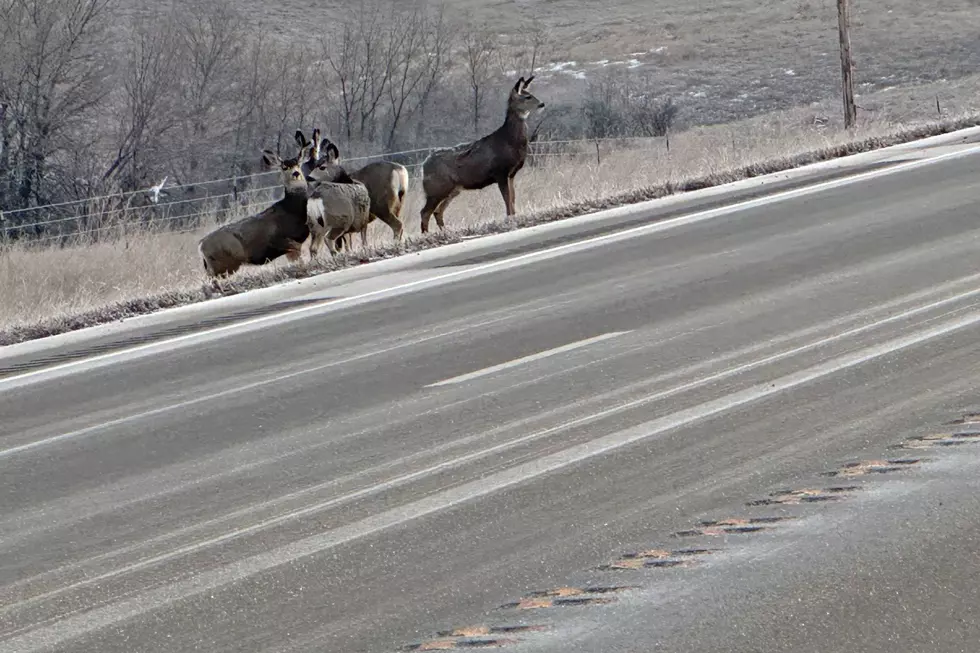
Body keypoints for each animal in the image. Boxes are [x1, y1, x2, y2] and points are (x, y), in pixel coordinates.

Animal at [198, 141, 311, 279]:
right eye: (284, 167)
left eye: (298, 164)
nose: (296, 173)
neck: (292, 210)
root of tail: (200, 246)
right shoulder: (283, 240)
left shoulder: (291, 247)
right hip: (222, 265)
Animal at [418, 75, 545, 233]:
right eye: (527, 97)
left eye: (531, 93)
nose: (542, 104)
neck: (509, 141)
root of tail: (423, 166)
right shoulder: (500, 172)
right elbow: (507, 200)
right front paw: (510, 219)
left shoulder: (511, 174)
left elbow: (513, 199)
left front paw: (515, 217)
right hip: (437, 187)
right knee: (425, 212)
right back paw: (427, 234)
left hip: (453, 189)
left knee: (437, 211)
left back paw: (446, 231)